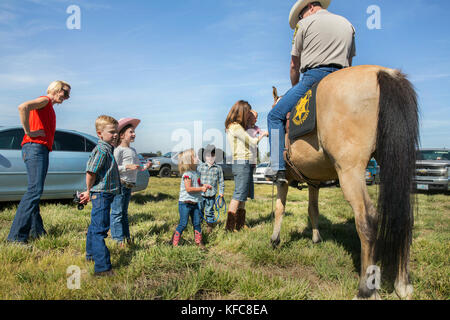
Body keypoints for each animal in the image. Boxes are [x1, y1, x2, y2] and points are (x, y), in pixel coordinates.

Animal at [268, 65, 418, 300]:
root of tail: (384, 73)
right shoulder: (314, 182)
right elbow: (313, 209)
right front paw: (316, 238)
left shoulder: (284, 181)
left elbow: (279, 209)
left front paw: (275, 239)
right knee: (404, 216)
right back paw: (403, 283)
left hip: (350, 171)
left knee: (367, 219)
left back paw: (366, 290)